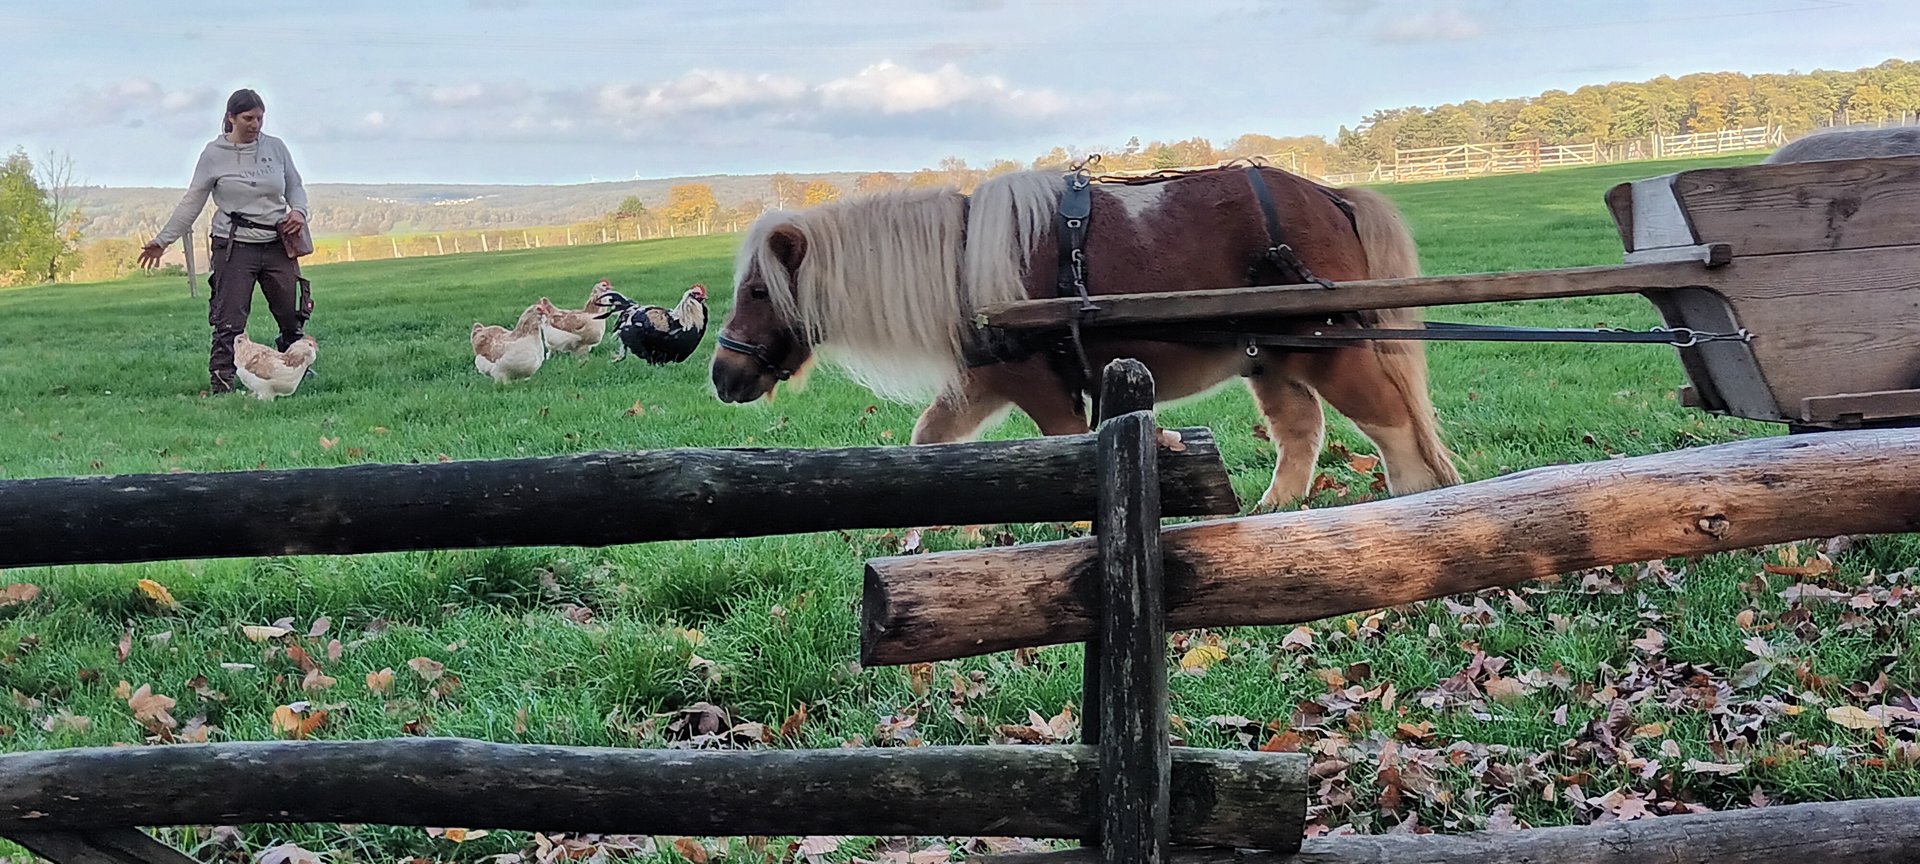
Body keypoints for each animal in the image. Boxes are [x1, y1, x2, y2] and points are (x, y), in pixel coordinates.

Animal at [709, 163, 1461, 510]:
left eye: (758, 292)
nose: (722, 374)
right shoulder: (984, 383)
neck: (965, 265)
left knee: (1392, 426)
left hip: (1325, 347)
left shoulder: (1045, 392)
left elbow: (1065, 453)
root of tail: (1331, 194)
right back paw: (1274, 511)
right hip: (1271, 358)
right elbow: (931, 442)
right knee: (1302, 431)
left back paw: (1415, 508)